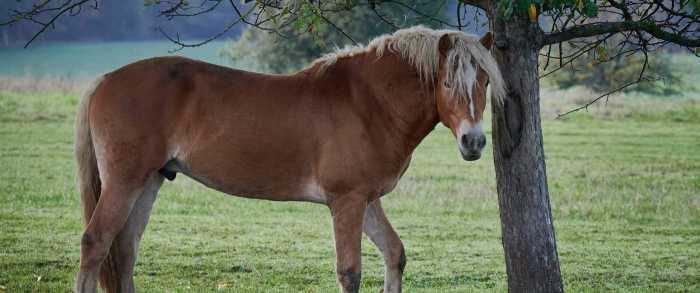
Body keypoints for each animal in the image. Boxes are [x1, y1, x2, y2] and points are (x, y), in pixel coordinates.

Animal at [74, 25, 504, 292]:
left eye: (484, 81)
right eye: (447, 82)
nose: (474, 142)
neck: (368, 102)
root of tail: (105, 79)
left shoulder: (366, 201)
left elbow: (394, 255)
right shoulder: (346, 202)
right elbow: (350, 272)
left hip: (149, 181)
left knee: (125, 250)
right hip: (124, 182)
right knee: (95, 242)